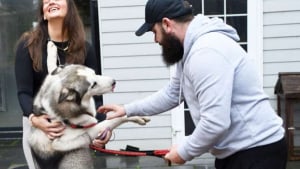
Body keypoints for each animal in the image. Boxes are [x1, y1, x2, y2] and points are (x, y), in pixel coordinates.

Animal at [28, 41, 150, 169]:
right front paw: (135, 116)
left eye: (94, 73)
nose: (114, 82)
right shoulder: (85, 134)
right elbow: (115, 119)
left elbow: (52, 68)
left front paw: (51, 47)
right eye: (93, 85)